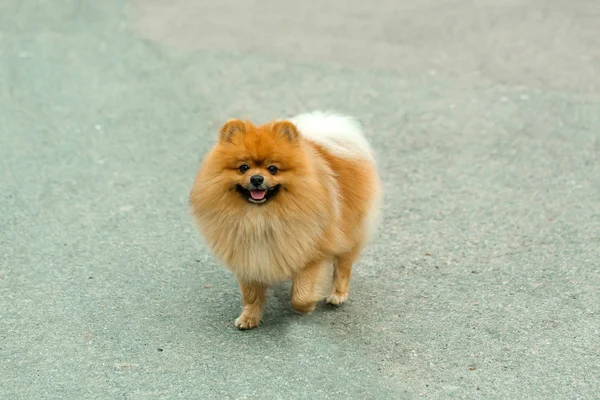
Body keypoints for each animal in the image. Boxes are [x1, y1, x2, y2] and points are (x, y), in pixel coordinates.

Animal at [190, 111, 382, 328]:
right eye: (243, 167)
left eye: (273, 168)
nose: (257, 178)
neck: (260, 218)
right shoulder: (247, 257)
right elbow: (251, 295)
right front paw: (249, 317)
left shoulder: (311, 255)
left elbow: (301, 295)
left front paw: (306, 307)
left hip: (349, 231)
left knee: (343, 265)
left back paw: (337, 295)